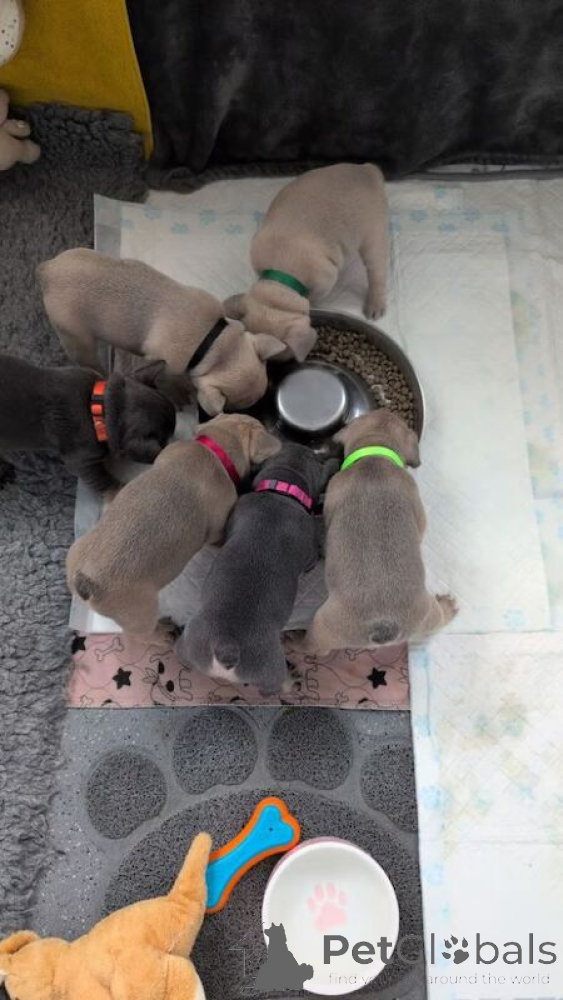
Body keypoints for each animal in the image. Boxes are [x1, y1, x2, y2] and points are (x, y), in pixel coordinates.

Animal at [39, 248, 287, 415]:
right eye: (234, 407)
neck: (213, 342)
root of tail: (48, 270)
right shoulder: (167, 364)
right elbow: (168, 381)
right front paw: (179, 394)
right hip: (77, 339)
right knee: (89, 361)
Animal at [67, 414, 281, 638]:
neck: (215, 448)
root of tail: (86, 582)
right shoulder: (218, 527)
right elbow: (218, 537)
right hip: (141, 613)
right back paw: (163, 631)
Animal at [176, 442, 334, 695]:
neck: (280, 489)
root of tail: (226, 645)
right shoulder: (309, 551)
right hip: (269, 666)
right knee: (272, 687)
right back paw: (291, 682)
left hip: (191, 642)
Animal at [224, 163, 388, 361]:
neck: (281, 276)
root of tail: (367, 170)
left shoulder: (325, 279)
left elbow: (313, 298)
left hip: (373, 235)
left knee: (377, 272)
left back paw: (375, 304)